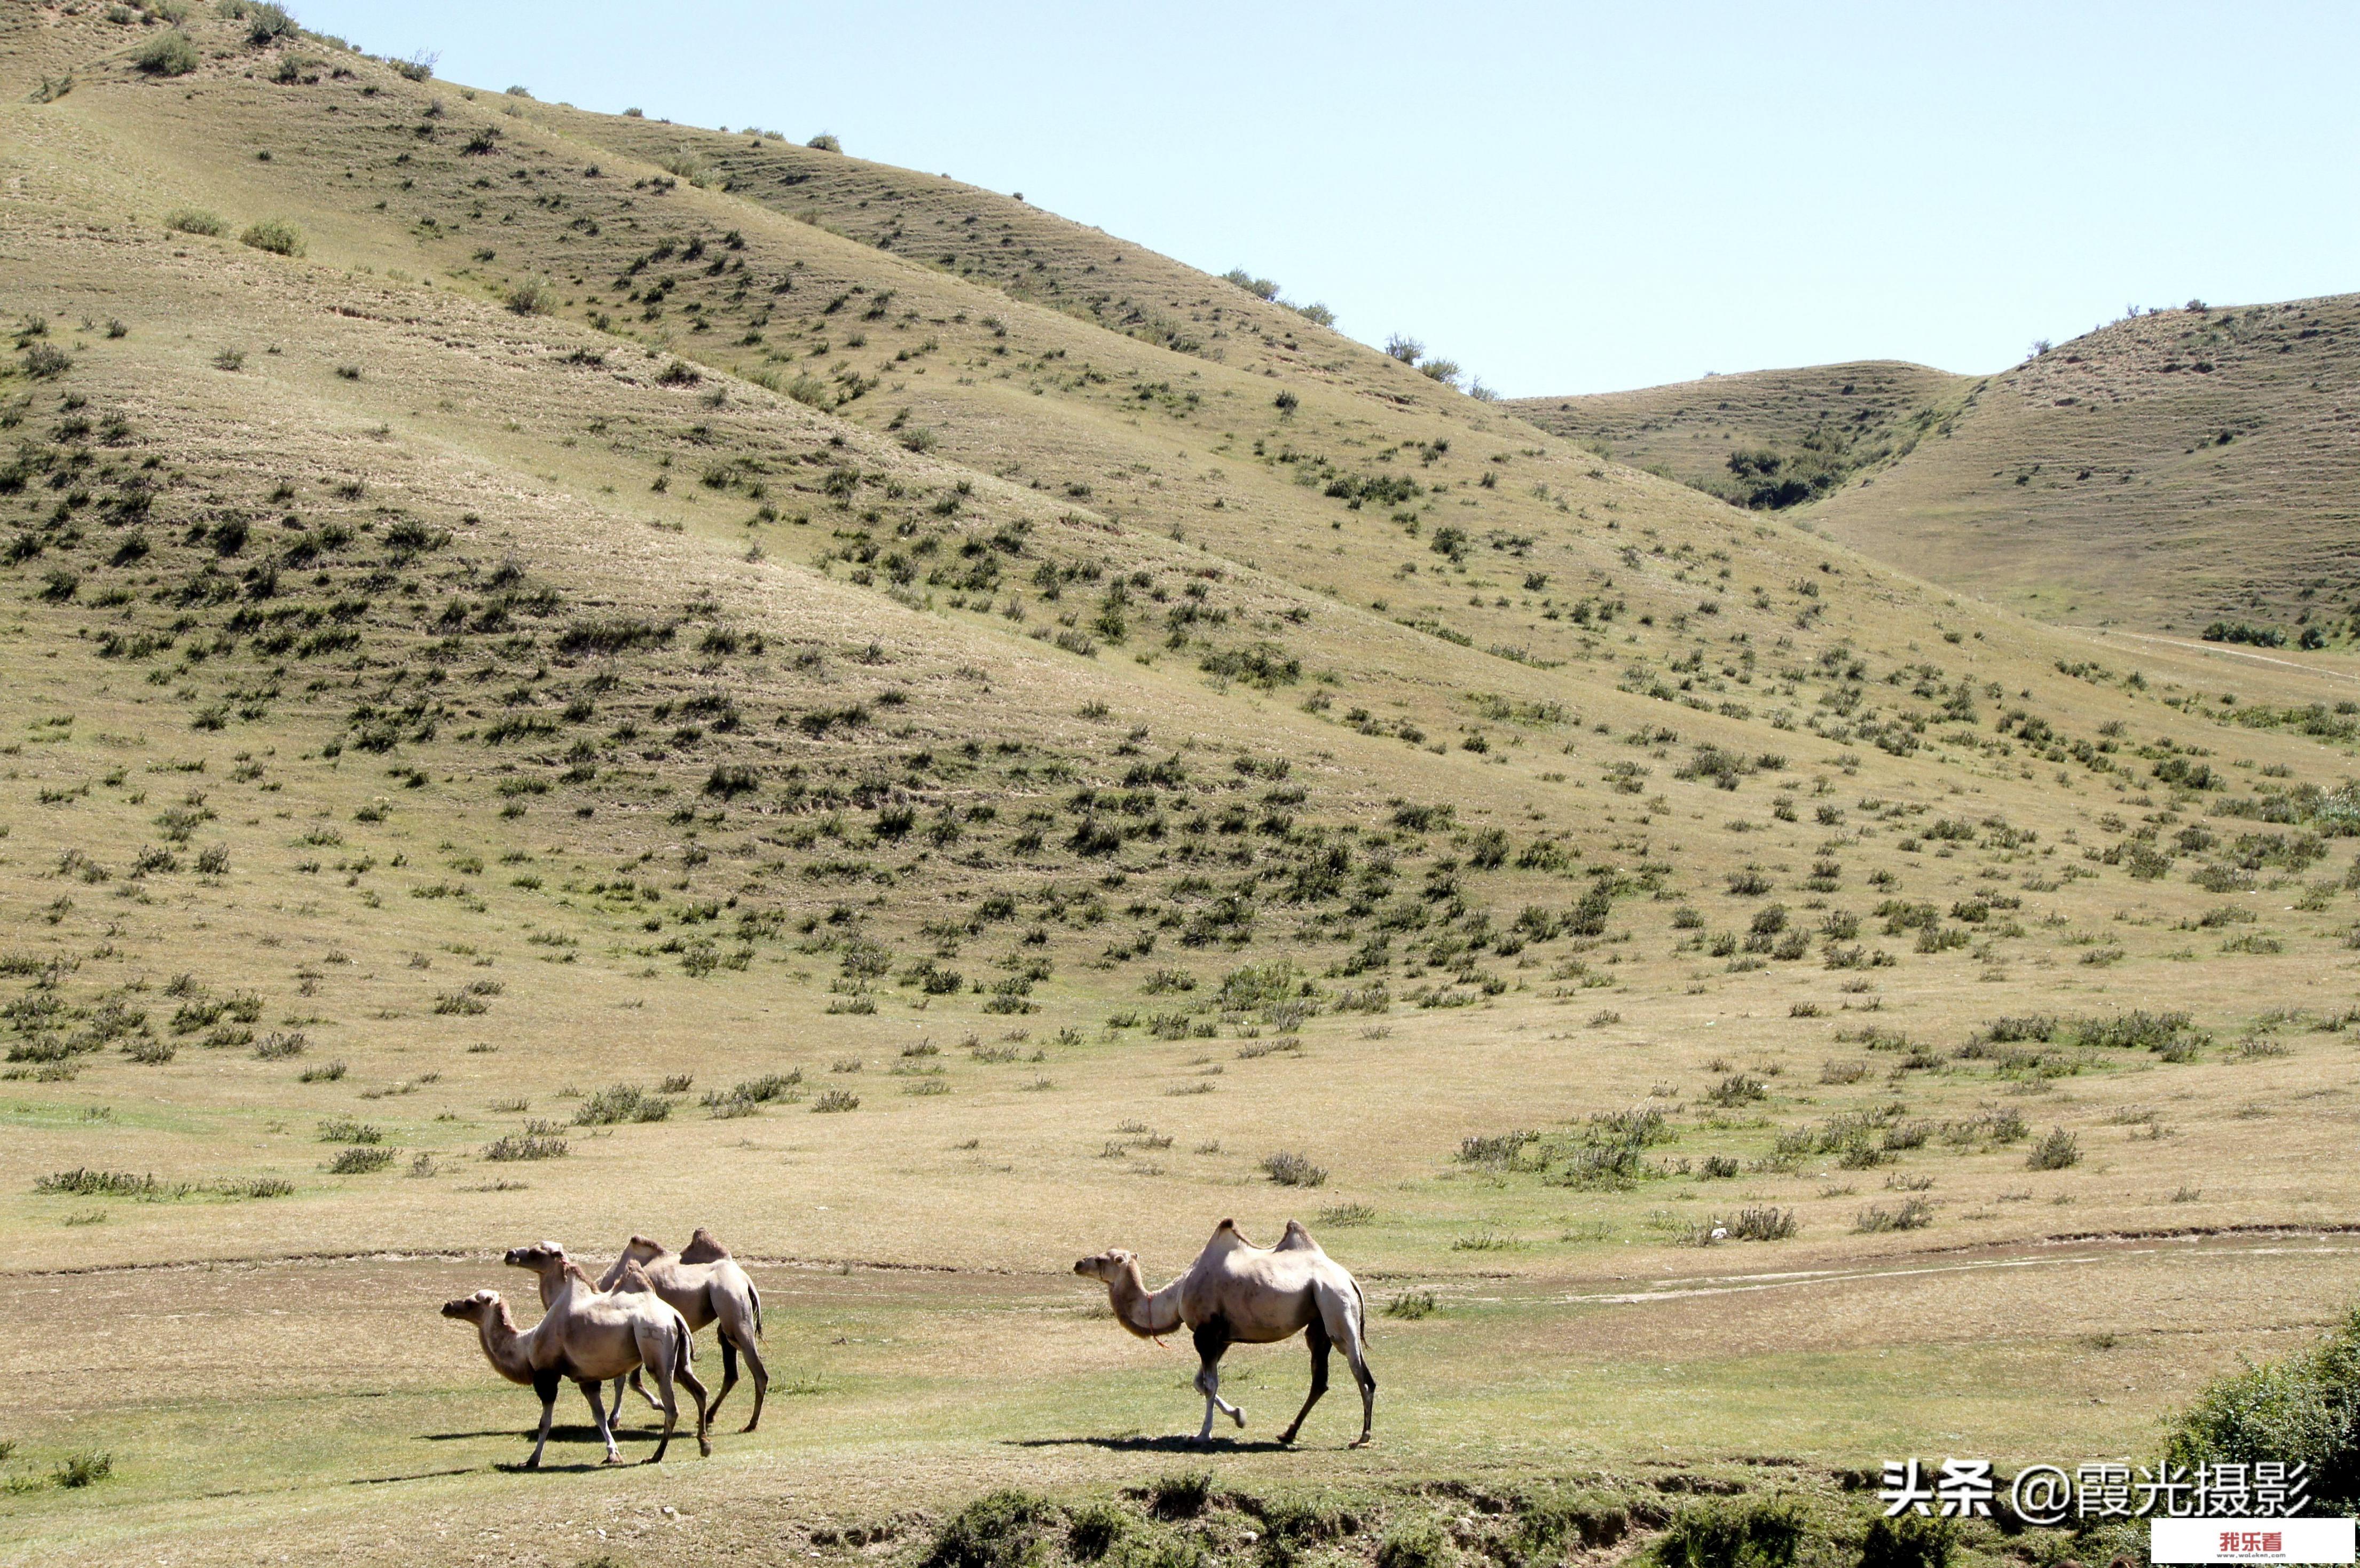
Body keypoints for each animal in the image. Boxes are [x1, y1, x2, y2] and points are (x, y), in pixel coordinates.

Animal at [439, 1237, 703, 1474]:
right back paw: (704, 1443)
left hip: (654, 1344)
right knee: (699, 1390)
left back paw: (657, 1454)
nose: (448, 1306)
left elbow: (545, 1422)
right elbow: (599, 1415)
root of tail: (673, 1315)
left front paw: (532, 1460)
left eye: (472, 1301)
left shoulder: (546, 1375)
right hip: (679, 1357)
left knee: (671, 1406)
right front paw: (613, 1453)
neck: (526, 1344)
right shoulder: (587, 1379)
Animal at [594, 1228, 769, 1436]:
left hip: (732, 1301)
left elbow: (625, 1380)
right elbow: (631, 1379)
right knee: (732, 1371)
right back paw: (709, 1416)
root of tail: (745, 1279)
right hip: (728, 1314)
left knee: (758, 1371)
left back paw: (750, 1424)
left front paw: (616, 1418)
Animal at [1076, 1218, 1378, 1454]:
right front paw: (1239, 1416)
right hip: (1317, 1320)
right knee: (1320, 1379)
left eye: (1108, 1259)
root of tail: (1350, 1279)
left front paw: (1203, 1434)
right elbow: (1200, 1382)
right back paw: (1288, 1434)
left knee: (1361, 1373)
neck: (1178, 1294)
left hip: (1335, 1303)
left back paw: (1362, 1437)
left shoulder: (1205, 1334)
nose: (1079, 1263)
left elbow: (1209, 1384)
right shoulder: (1222, 1339)